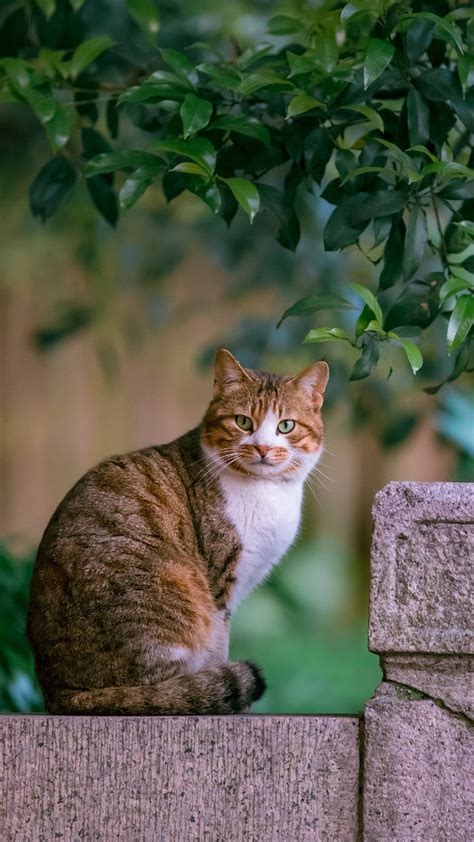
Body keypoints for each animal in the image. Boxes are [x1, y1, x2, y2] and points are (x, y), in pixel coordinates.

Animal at [26, 352, 330, 712]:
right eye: (243, 422)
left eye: (286, 426)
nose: (263, 449)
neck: (266, 491)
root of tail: (60, 692)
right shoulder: (219, 585)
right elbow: (218, 645)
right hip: (174, 582)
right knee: (160, 693)